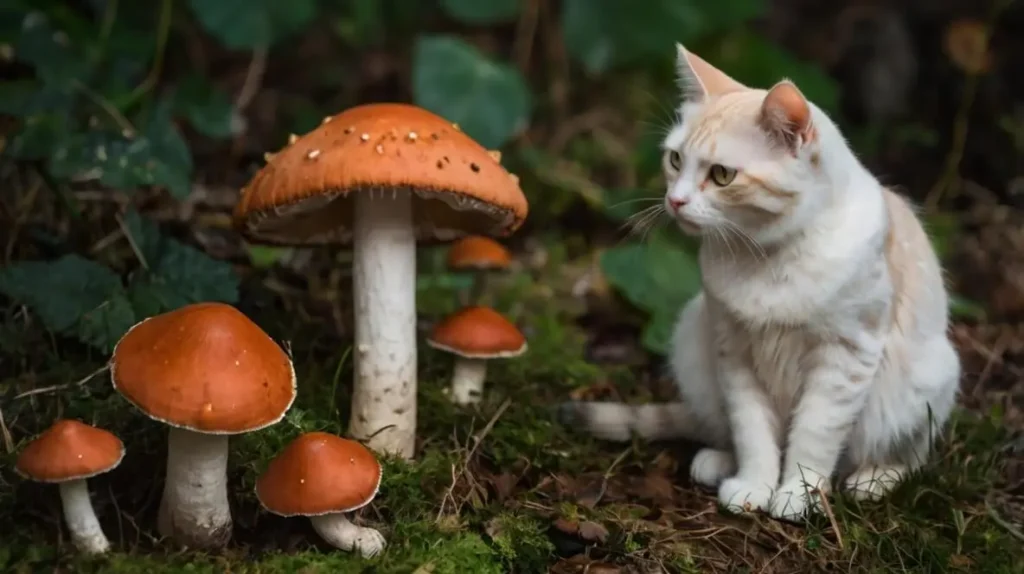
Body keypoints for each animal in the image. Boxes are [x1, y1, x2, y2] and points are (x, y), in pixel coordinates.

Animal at [561, 43, 958, 519]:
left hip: (928, 377)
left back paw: (872, 479)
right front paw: (754, 485)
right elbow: (751, 430)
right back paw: (719, 462)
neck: (766, 260)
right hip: (692, 337)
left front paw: (797, 494)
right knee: (718, 428)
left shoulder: (845, 359)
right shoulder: (733, 351)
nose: (675, 200)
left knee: (910, 456)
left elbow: (814, 435)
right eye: (675, 160)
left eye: (722, 175)